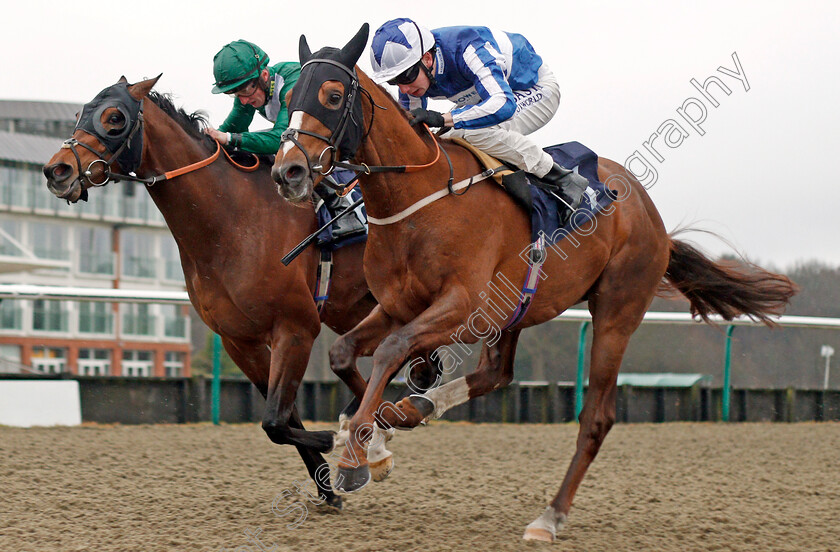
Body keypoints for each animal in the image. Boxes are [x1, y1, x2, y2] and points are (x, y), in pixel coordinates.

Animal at [42, 75, 440, 512]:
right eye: (80, 113)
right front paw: (327, 489)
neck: (232, 221)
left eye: (114, 118)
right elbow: (281, 418)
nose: (56, 169)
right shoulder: (239, 340)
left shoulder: (296, 328)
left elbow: (275, 420)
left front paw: (332, 441)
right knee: (418, 366)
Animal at [272, 24, 796, 540]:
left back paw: (549, 517)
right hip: (516, 308)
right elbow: (347, 353)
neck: (418, 200)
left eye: (333, 95)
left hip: (616, 311)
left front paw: (360, 454)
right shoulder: (400, 304)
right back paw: (414, 410)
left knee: (596, 417)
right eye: (290, 95)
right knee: (494, 374)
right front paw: (374, 437)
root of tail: (654, 219)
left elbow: (388, 350)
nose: (287, 171)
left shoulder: (462, 305)